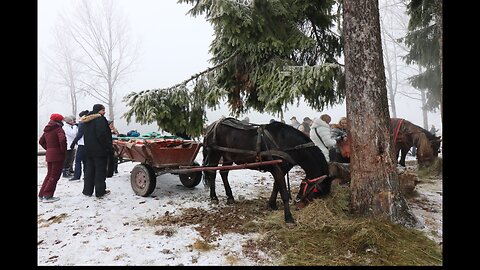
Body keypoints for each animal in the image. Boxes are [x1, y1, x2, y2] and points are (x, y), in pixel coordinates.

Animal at [202, 117, 334, 224]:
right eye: (317, 190)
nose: (299, 205)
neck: (287, 143)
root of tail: (211, 126)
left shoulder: (282, 169)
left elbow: (276, 186)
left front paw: (272, 204)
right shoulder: (277, 168)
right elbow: (284, 192)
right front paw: (289, 218)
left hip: (228, 156)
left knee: (223, 173)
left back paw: (230, 197)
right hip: (215, 153)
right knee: (212, 173)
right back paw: (214, 197)